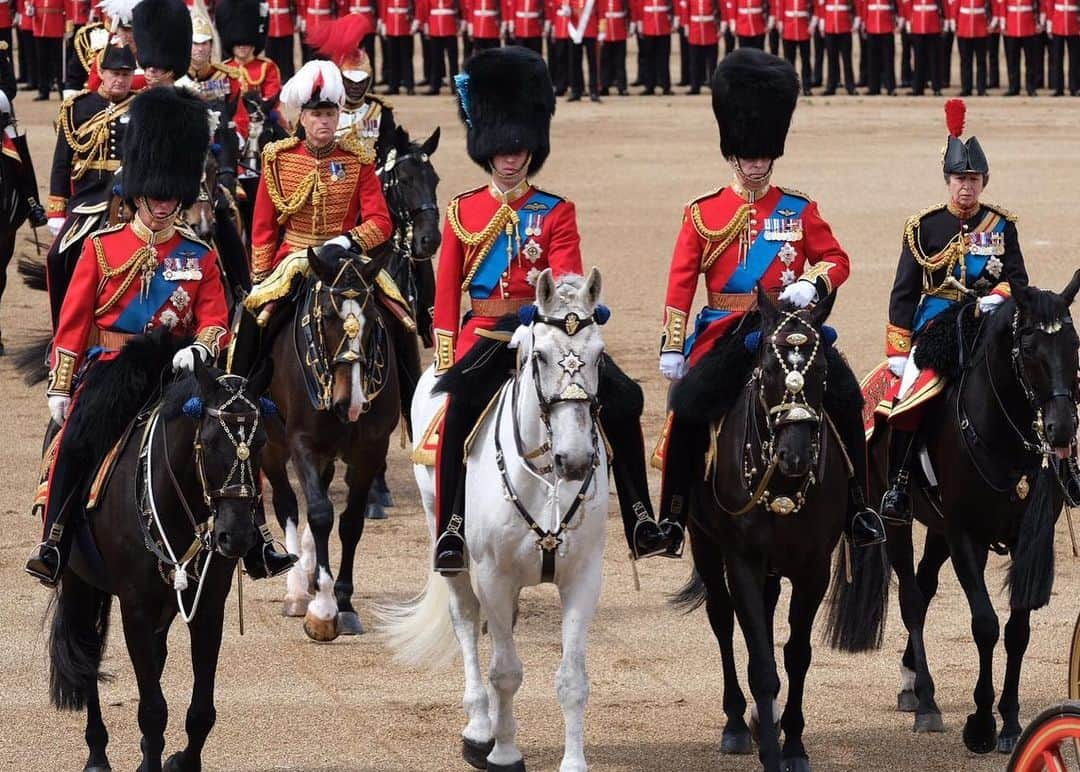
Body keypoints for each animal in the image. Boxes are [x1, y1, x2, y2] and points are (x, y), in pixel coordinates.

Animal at [48, 349, 272, 772]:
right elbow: (152, 710)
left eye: (263, 440)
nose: (236, 536)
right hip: (76, 579)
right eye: (209, 441)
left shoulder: (208, 605)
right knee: (86, 655)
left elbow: (201, 711)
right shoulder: (134, 605)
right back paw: (97, 752)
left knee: (154, 654)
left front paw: (182, 760)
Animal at [384, 268, 613, 768]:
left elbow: (572, 678)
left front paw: (573, 760)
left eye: (598, 355)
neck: (545, 473)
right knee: (467, 621)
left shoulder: (583, 577)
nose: (575, 460)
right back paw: (479, 727)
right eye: (540, 356)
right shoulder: (493, 575)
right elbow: (505, 670)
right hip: (445, 538)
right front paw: (503, 751)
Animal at [669, 289, 889, 772]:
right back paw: (737, 723)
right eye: (769, 369)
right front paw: (771, 751)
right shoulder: (743, 562)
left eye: (821, 370)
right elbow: (761, 666)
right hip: (705, 544)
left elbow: (795, 656)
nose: (795, 456)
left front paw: (794, 745)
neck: (784, 487)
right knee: (722, 620)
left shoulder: (813, 569)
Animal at [868, 275, 1080, 760]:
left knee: (926, 586)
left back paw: (911, 680)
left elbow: (1018, 629)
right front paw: (982, 724)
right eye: (1029, 347)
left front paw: (1012, 722)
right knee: (911, 597)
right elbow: (985, 625)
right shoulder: (966, 534)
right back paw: (926, 700)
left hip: (938, 530)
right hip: (899, 524)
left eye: (1074, 345)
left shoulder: (1023, 538)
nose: (1061, 429)